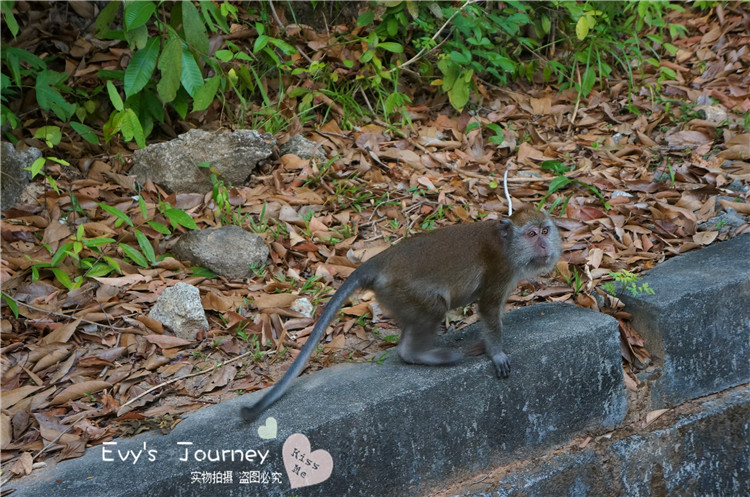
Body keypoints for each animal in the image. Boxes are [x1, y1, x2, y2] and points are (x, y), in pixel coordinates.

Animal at [239, 206, 560, 422]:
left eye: (545, 231)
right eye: (532, 234)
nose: (545, 244)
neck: (508, 245)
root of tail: (382, 260)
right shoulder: (501, 270)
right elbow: (489, 309)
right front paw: (497, 353)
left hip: (396, 297)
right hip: (405, 289)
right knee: (434, 307)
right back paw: (424, 355)